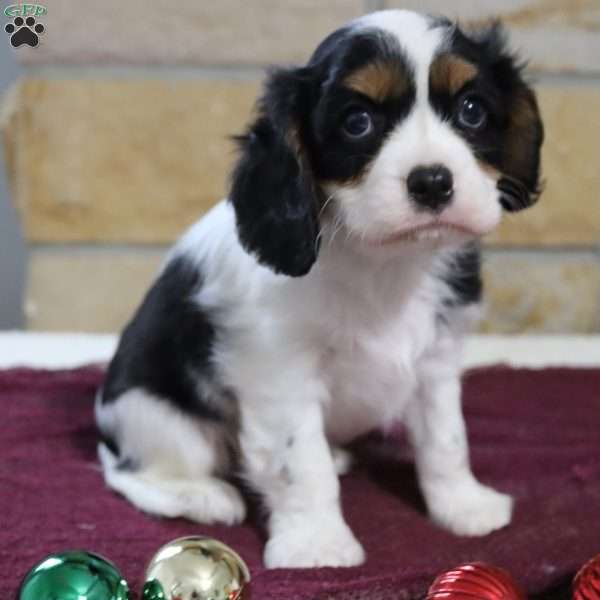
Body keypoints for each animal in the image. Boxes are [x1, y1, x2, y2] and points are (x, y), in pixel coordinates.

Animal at [95, 10, 544, 572]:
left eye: (471, 111)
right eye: (357, 122)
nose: (433, 182)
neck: (382, 261)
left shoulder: (437, 363)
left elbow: (446, 440)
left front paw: (463, 506)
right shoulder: (280, 372)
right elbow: (301, 465)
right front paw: (317, 545)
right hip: (158, 416)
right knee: (127, 471)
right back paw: (200, 495)